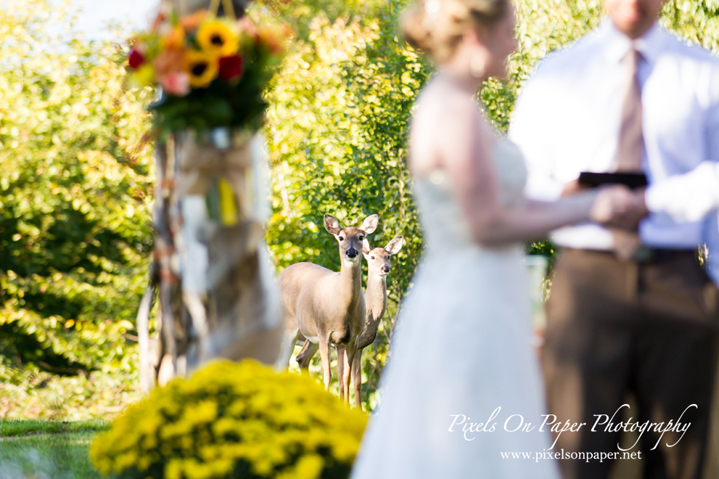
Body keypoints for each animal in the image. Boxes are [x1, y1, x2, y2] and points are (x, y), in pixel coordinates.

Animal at [276, 215, 380, 404]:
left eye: (361, 236)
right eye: (341, 237)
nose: (351, 252)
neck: (343, 307)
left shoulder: (352, 339)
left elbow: (345, 378)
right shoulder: (324, 333)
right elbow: (328, 376)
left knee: (300, 360)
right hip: (290, 326)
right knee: (284, 363)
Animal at [294, 236, 404, 408]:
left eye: (388, 256)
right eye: (372, 257)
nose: (385, 268)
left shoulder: (359, 346)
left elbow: (356, 381)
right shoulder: (341, 344)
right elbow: (341, 380)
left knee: (302, 358)